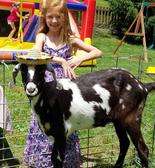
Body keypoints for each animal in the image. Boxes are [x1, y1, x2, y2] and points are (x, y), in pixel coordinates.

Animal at [12, 63, 155, 168]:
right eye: (23, 72)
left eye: (41, 72)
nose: (31, 89)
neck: (48, 96)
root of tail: (142, 86)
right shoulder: (55, 134)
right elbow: (53, 159)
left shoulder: (62, 133)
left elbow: (58, 159)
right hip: (118, 120)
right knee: (124, 143)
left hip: (132, 117)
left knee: (143, 149)